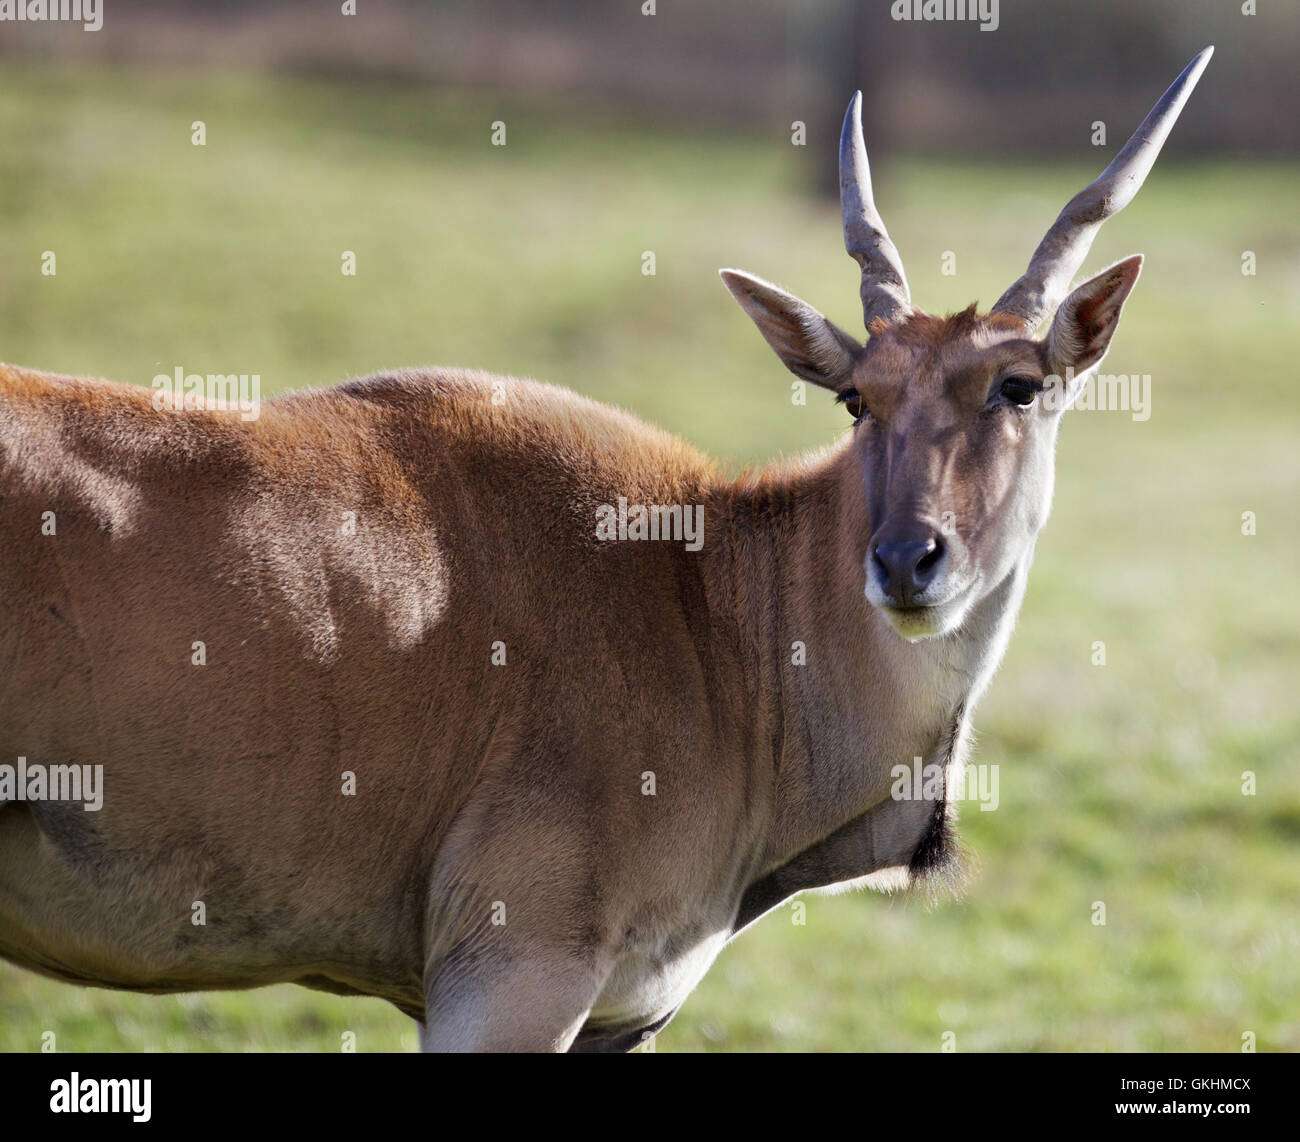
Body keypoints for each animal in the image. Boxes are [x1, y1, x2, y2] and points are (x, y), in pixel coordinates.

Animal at [0, 51, 1211, 1056]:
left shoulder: (608, 1017)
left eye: (1020, 385)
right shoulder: (512, 977)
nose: (907, 561)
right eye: (856, 399)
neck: (713, 600)